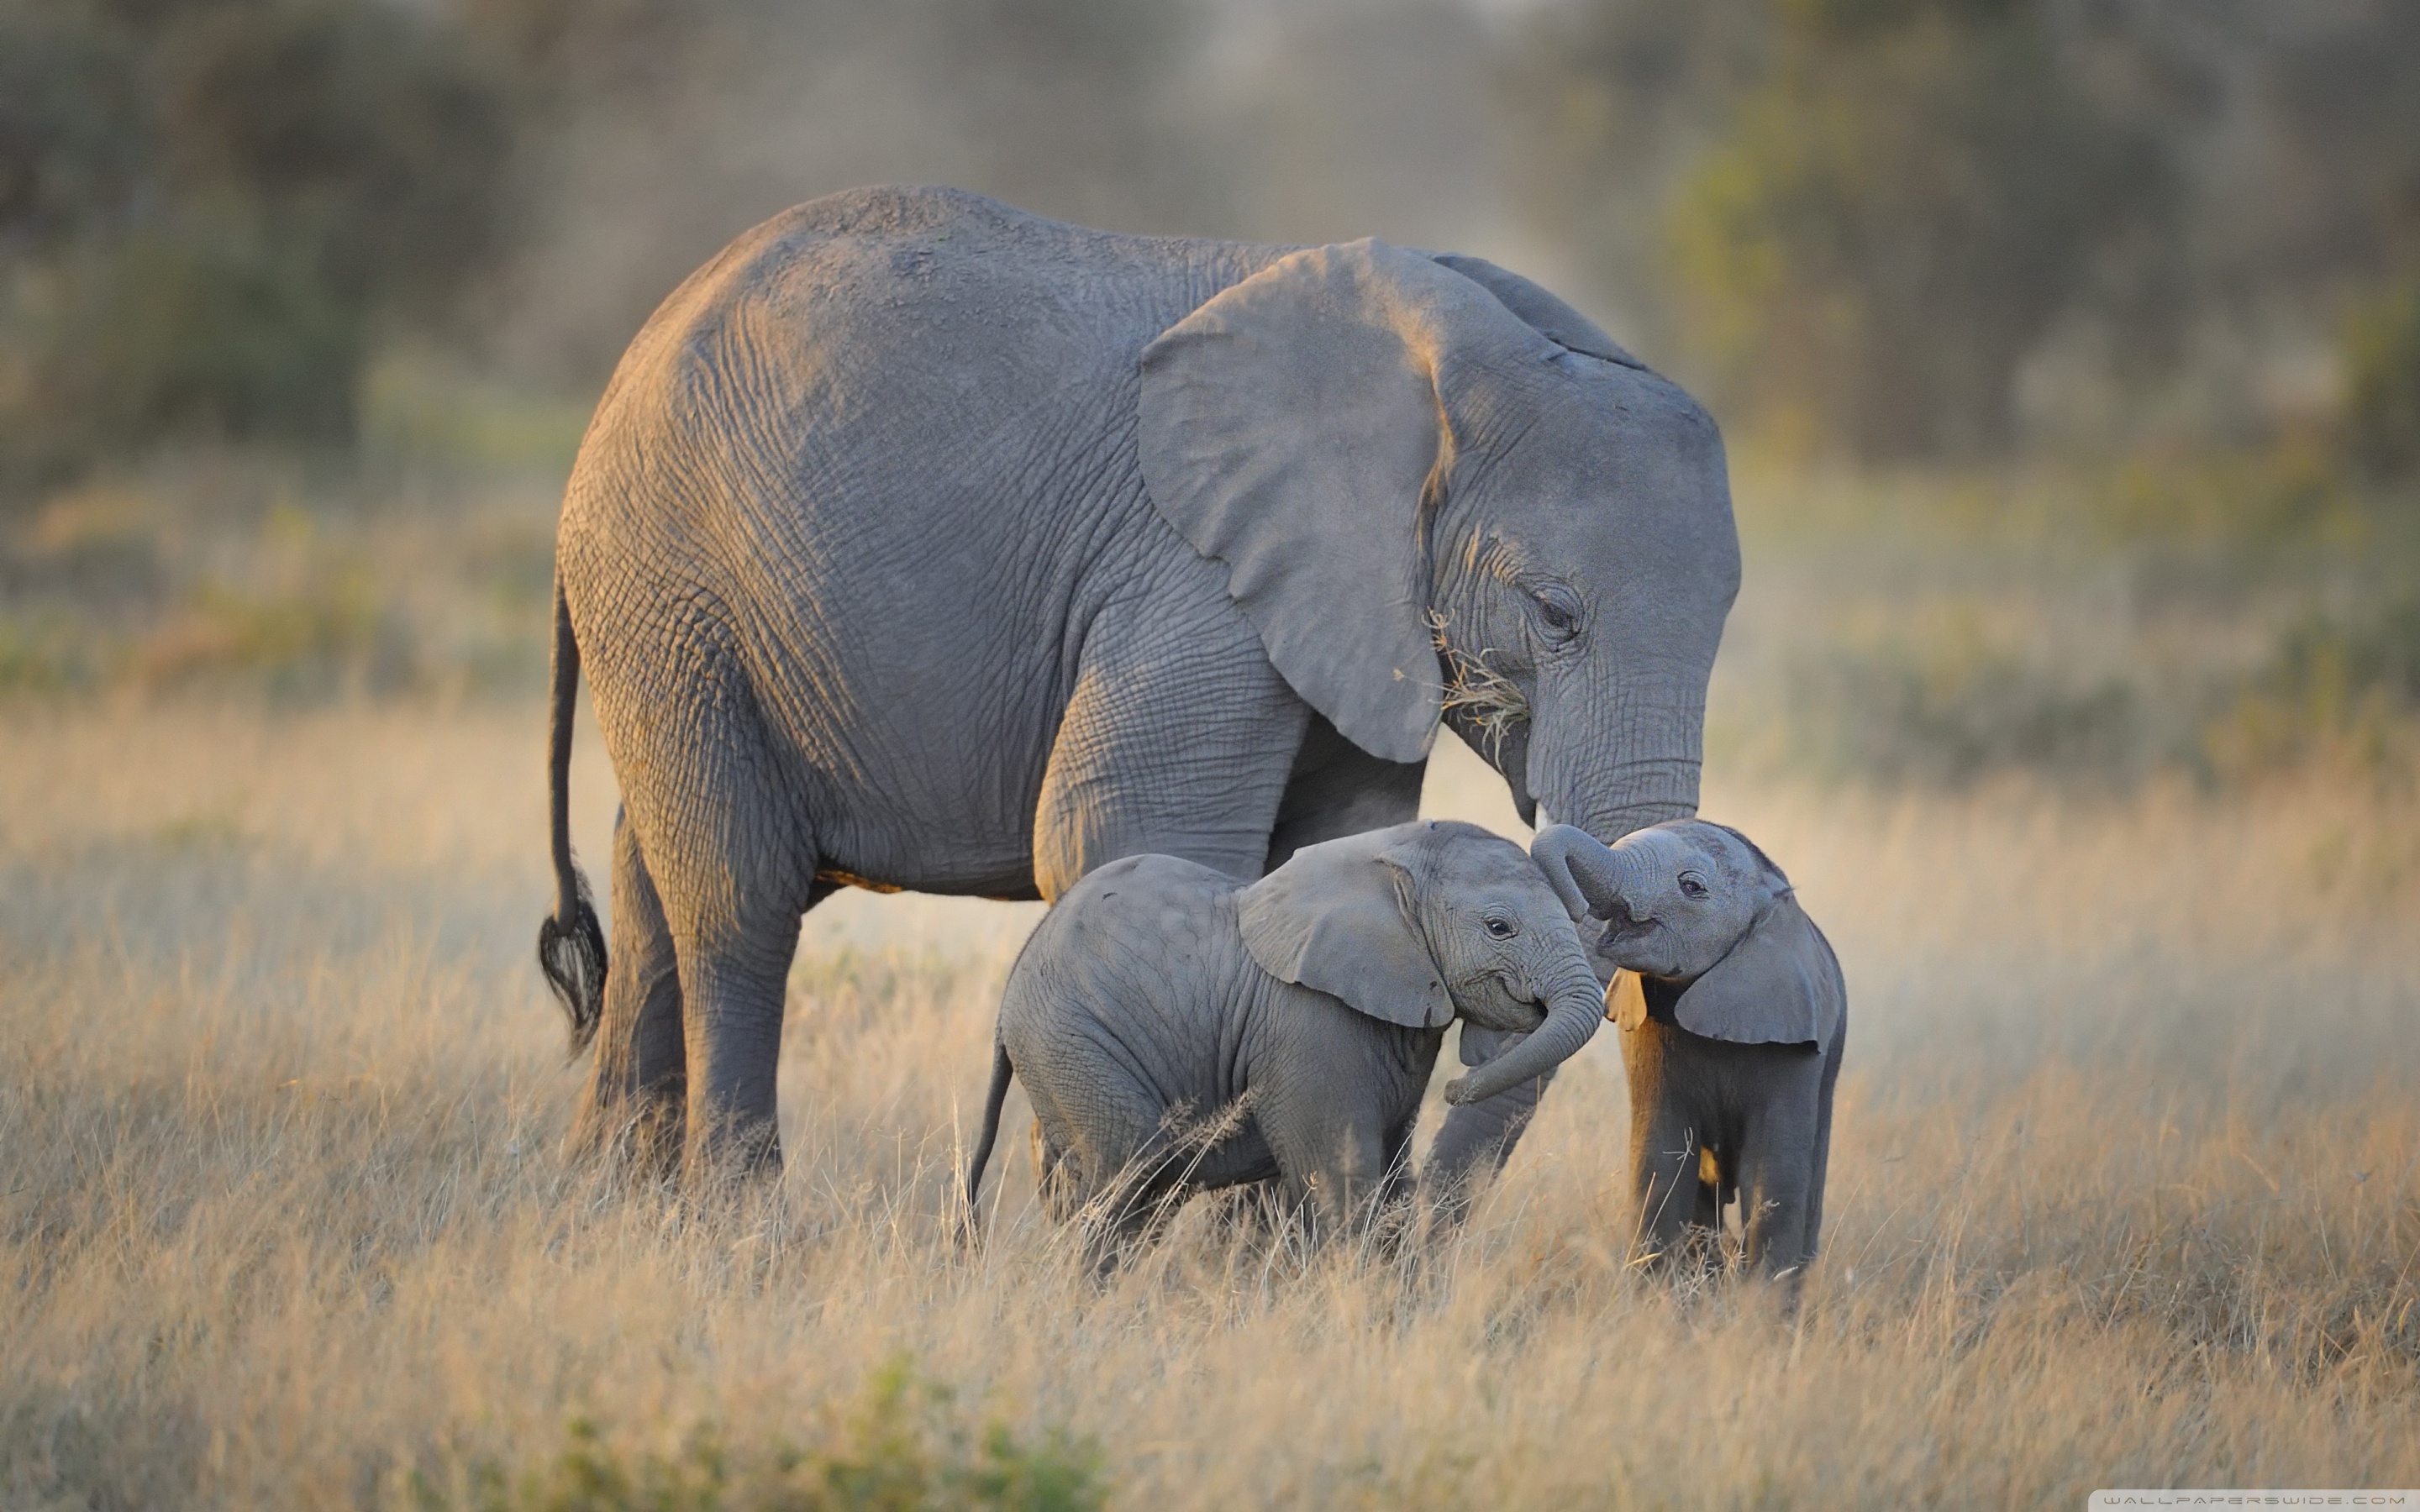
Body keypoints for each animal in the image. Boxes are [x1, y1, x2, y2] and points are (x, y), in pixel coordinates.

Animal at [537, 186, 1733, 1180]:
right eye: (1555, 615)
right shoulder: (1191, 574)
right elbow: (1125, 831)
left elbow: (1330, 847)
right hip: (670, 586)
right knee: (736, 901)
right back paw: (740, 1222)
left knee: (650, 886)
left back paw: (611, 1209)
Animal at [963, 817, 1607, 1248]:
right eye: (1499, 928)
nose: (1455, 1089)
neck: (1389, 857)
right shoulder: (1309, 1025)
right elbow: (1342, 1180)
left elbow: (1394, 1177)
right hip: (1071, 1042)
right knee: (1130, 1173)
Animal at [1529, 817, 1849, 1277]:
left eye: (1692, 887)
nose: (1573, 908)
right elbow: (1660, 1161)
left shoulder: (1796, 1042)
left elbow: (1775, 1174)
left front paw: (1760, 1300)